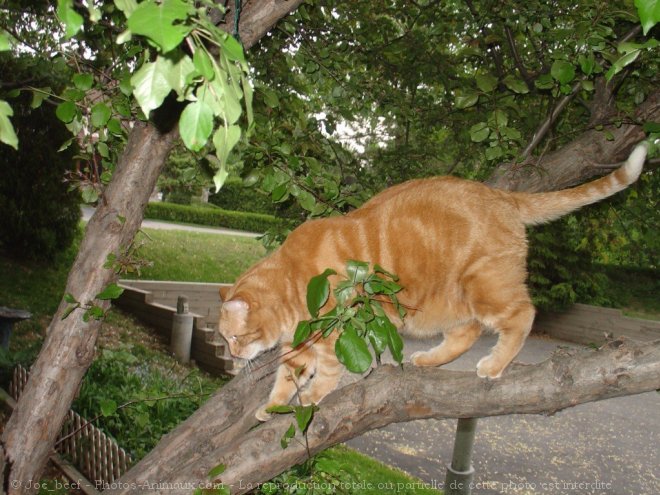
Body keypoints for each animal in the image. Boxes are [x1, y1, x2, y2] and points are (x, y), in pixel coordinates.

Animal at [219, 141, 648, 420]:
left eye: (235, 337)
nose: (234, 356)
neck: (292, 281)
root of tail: (502, 195)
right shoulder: (303, 342)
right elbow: (285, 377)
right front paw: (272, 406)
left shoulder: (334, 333)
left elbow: (326, 372)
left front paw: (311, 397)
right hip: (451, 301)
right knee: (467, 333)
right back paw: (428, 360)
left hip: (484, 287)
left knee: (522, 315)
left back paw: (494, 365)